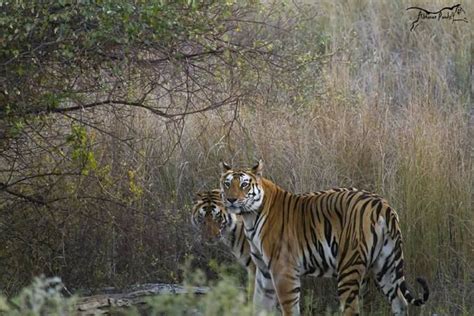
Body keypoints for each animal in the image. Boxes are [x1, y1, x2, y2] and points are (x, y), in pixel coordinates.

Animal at [218, 160, 430, 316]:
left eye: (244, 184)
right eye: (227, 184)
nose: (231, 199)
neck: (250, 217)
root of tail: (382, 204)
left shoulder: (283, 270)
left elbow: (290, 308)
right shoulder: (263, 272)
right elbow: (260, 305)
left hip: (349, 267)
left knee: (352, 309)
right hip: (386, 265)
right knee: (400, 302)